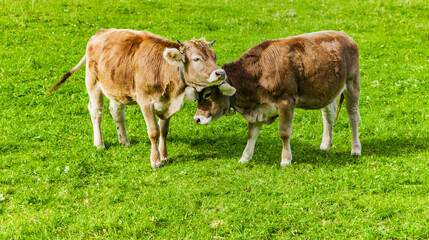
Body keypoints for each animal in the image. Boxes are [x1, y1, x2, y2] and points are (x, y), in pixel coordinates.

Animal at [48, 29, 226, 168]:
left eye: (214, 56)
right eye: (196, 58)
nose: (220, 73)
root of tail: (100, 33)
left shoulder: (166, 105)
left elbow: (164, 131)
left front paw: (165, 156)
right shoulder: (145, 102)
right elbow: (154, 132)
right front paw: (155, 161)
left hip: (117, 88)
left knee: (116, 112)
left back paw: (124, 141)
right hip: (92, 82)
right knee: (96, 112)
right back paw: (99, 144)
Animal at [194, 31, 362, 166]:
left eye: (207, 94)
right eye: (197, 94)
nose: (197, 119)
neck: (258, 73)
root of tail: (344, 35)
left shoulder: (286, 102)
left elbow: (284, 132)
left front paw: (286, 160)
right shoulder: (257, 108)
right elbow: (251, 133)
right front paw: (245, 158)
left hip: (352, 83)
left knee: (353, 116)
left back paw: (355, 149)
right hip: (327, 89)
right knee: (329, 115)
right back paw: (325, 145)